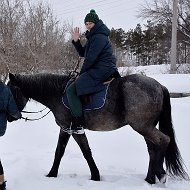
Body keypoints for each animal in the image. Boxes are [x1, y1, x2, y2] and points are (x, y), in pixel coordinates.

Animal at [7, 72, 189, 184]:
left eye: (11, 91)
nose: (10, 116)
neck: (58, 93)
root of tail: (159, 86)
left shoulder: (71, 128)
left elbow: (82, 152)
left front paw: (94, 176)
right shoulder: (68, 129)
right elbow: (63, 151)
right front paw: (53, 175)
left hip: (142, 126)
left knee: (163, 140)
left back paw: (160, 174)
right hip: (146, 127)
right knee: (153, 149)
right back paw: (149, 179)